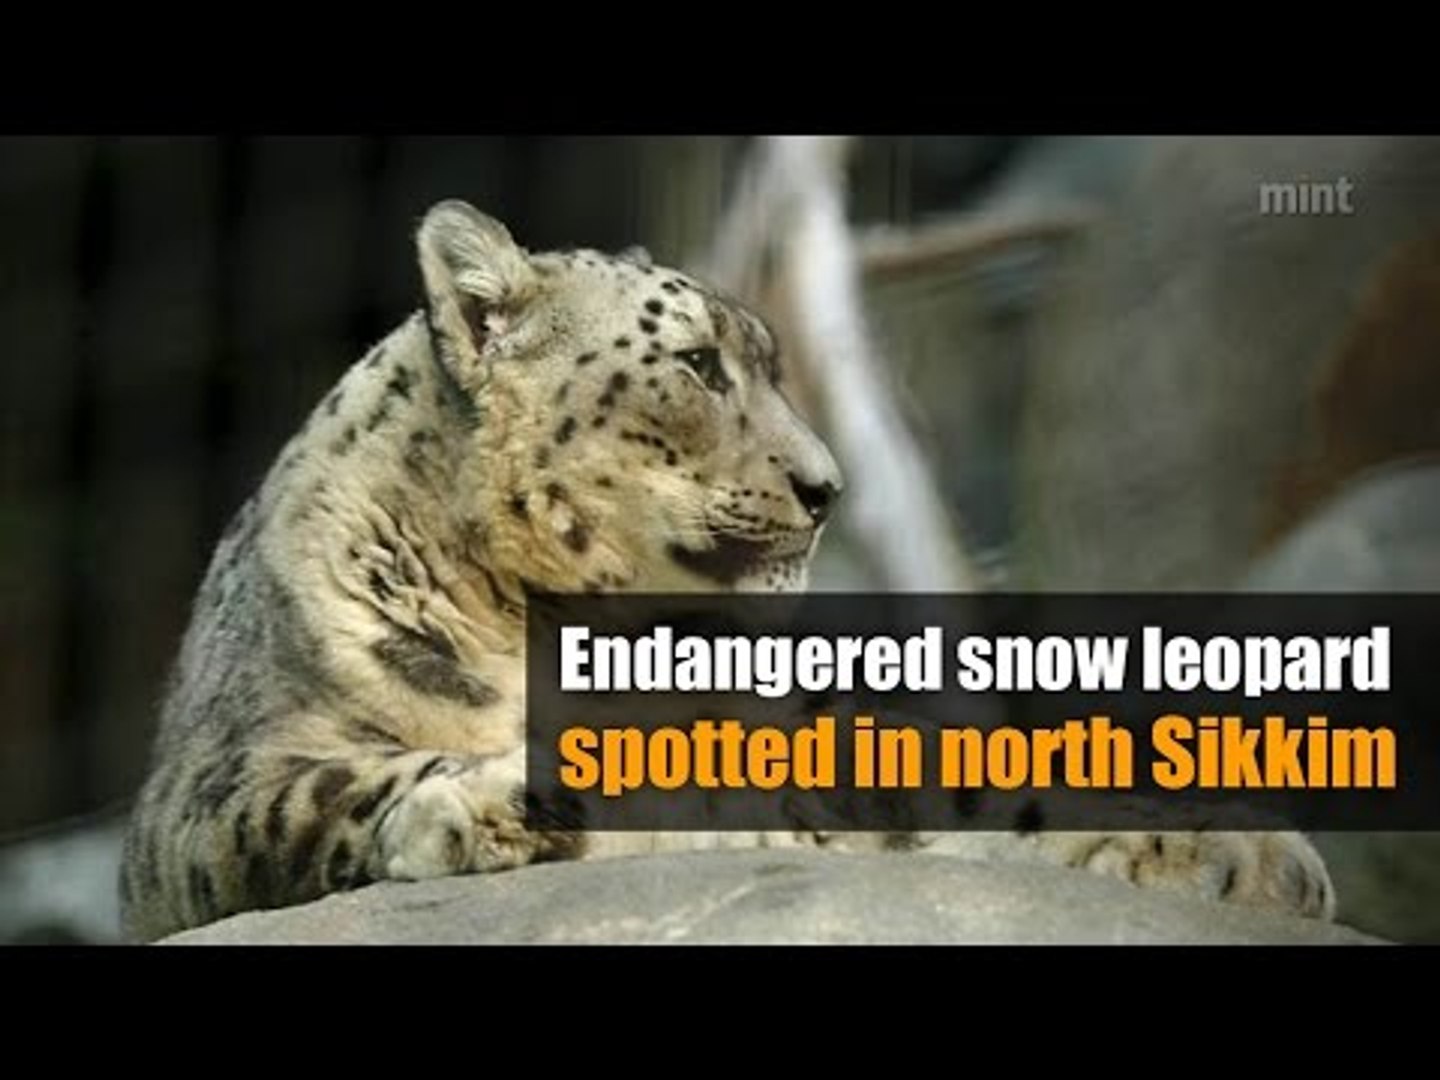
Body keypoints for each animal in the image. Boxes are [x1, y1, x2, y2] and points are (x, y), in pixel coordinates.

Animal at [118, 200, 1335, 941]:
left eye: (768, 362)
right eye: (699, 364)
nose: (828, 485)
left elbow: (969, 776)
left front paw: (1245, 849)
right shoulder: (209, 788)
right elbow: (316, 790)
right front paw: (496, 805)